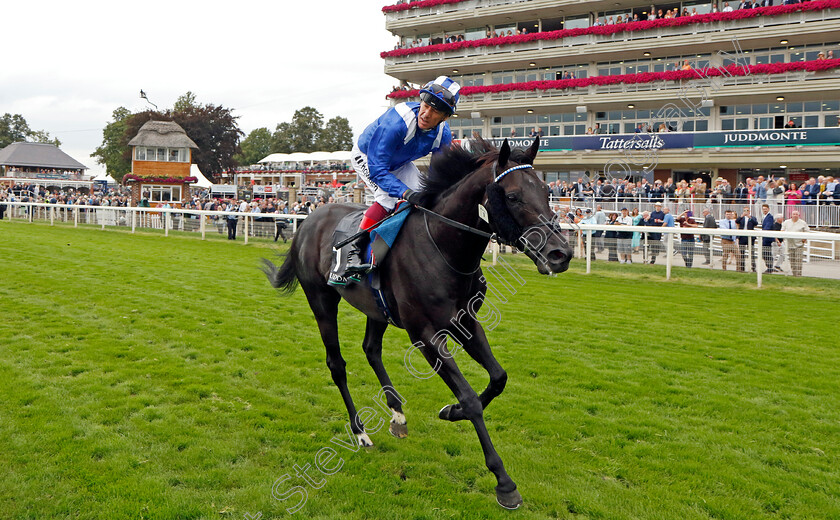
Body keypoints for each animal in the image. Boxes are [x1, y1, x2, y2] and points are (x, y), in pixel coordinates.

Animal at [266, 138, 576, 508]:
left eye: (545, 190)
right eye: (513, 196)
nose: (560, 253)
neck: (443, 247)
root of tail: (309, 219)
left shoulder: (464, 322)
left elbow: (499, 378)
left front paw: (451, 411)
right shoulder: (426, 334)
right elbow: (471, 399)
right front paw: (503, 482)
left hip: (377, 309)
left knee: (371, 349)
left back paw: (397, 414)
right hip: (321, 300)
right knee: (336, 364)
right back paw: (360, 432)